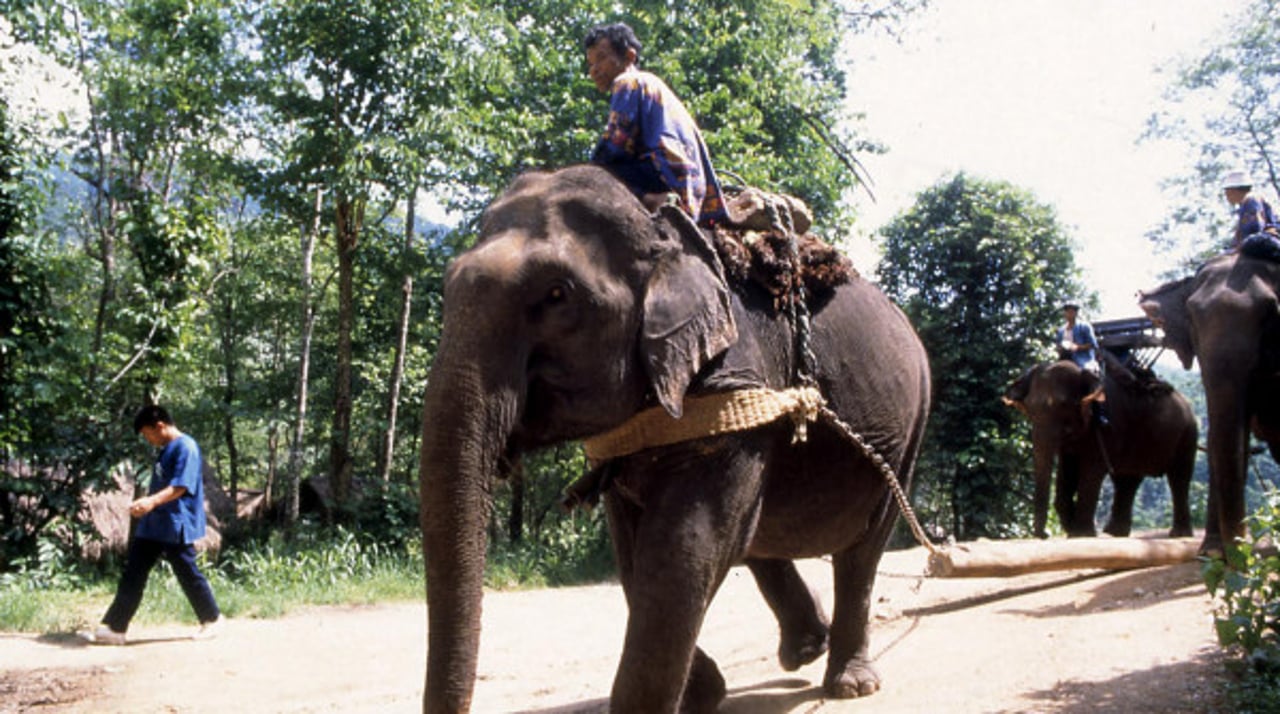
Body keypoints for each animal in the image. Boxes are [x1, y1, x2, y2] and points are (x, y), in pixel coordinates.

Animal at [419, 165, 931, 711]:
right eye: (448, 286)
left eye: (557, 294)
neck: (659, 224)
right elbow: (635, 553)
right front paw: (704, 694)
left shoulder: (734, 383)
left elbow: (683, 547)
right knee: (756, 534)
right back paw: (806, 648)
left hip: (910, 429)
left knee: (862, 548)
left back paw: (850, 682)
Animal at [998, 350, 1198, 539]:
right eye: (1029, 408)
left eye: (1063, 405)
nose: (1045, 534)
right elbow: (1067, 469)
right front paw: (1072, 529)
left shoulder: (1109, 424)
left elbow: (1092, 469)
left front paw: (1080, 534)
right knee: (1128, 480)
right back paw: (1115, 532)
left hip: (1187, 435)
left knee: (1179, 478)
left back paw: (1179, 534)